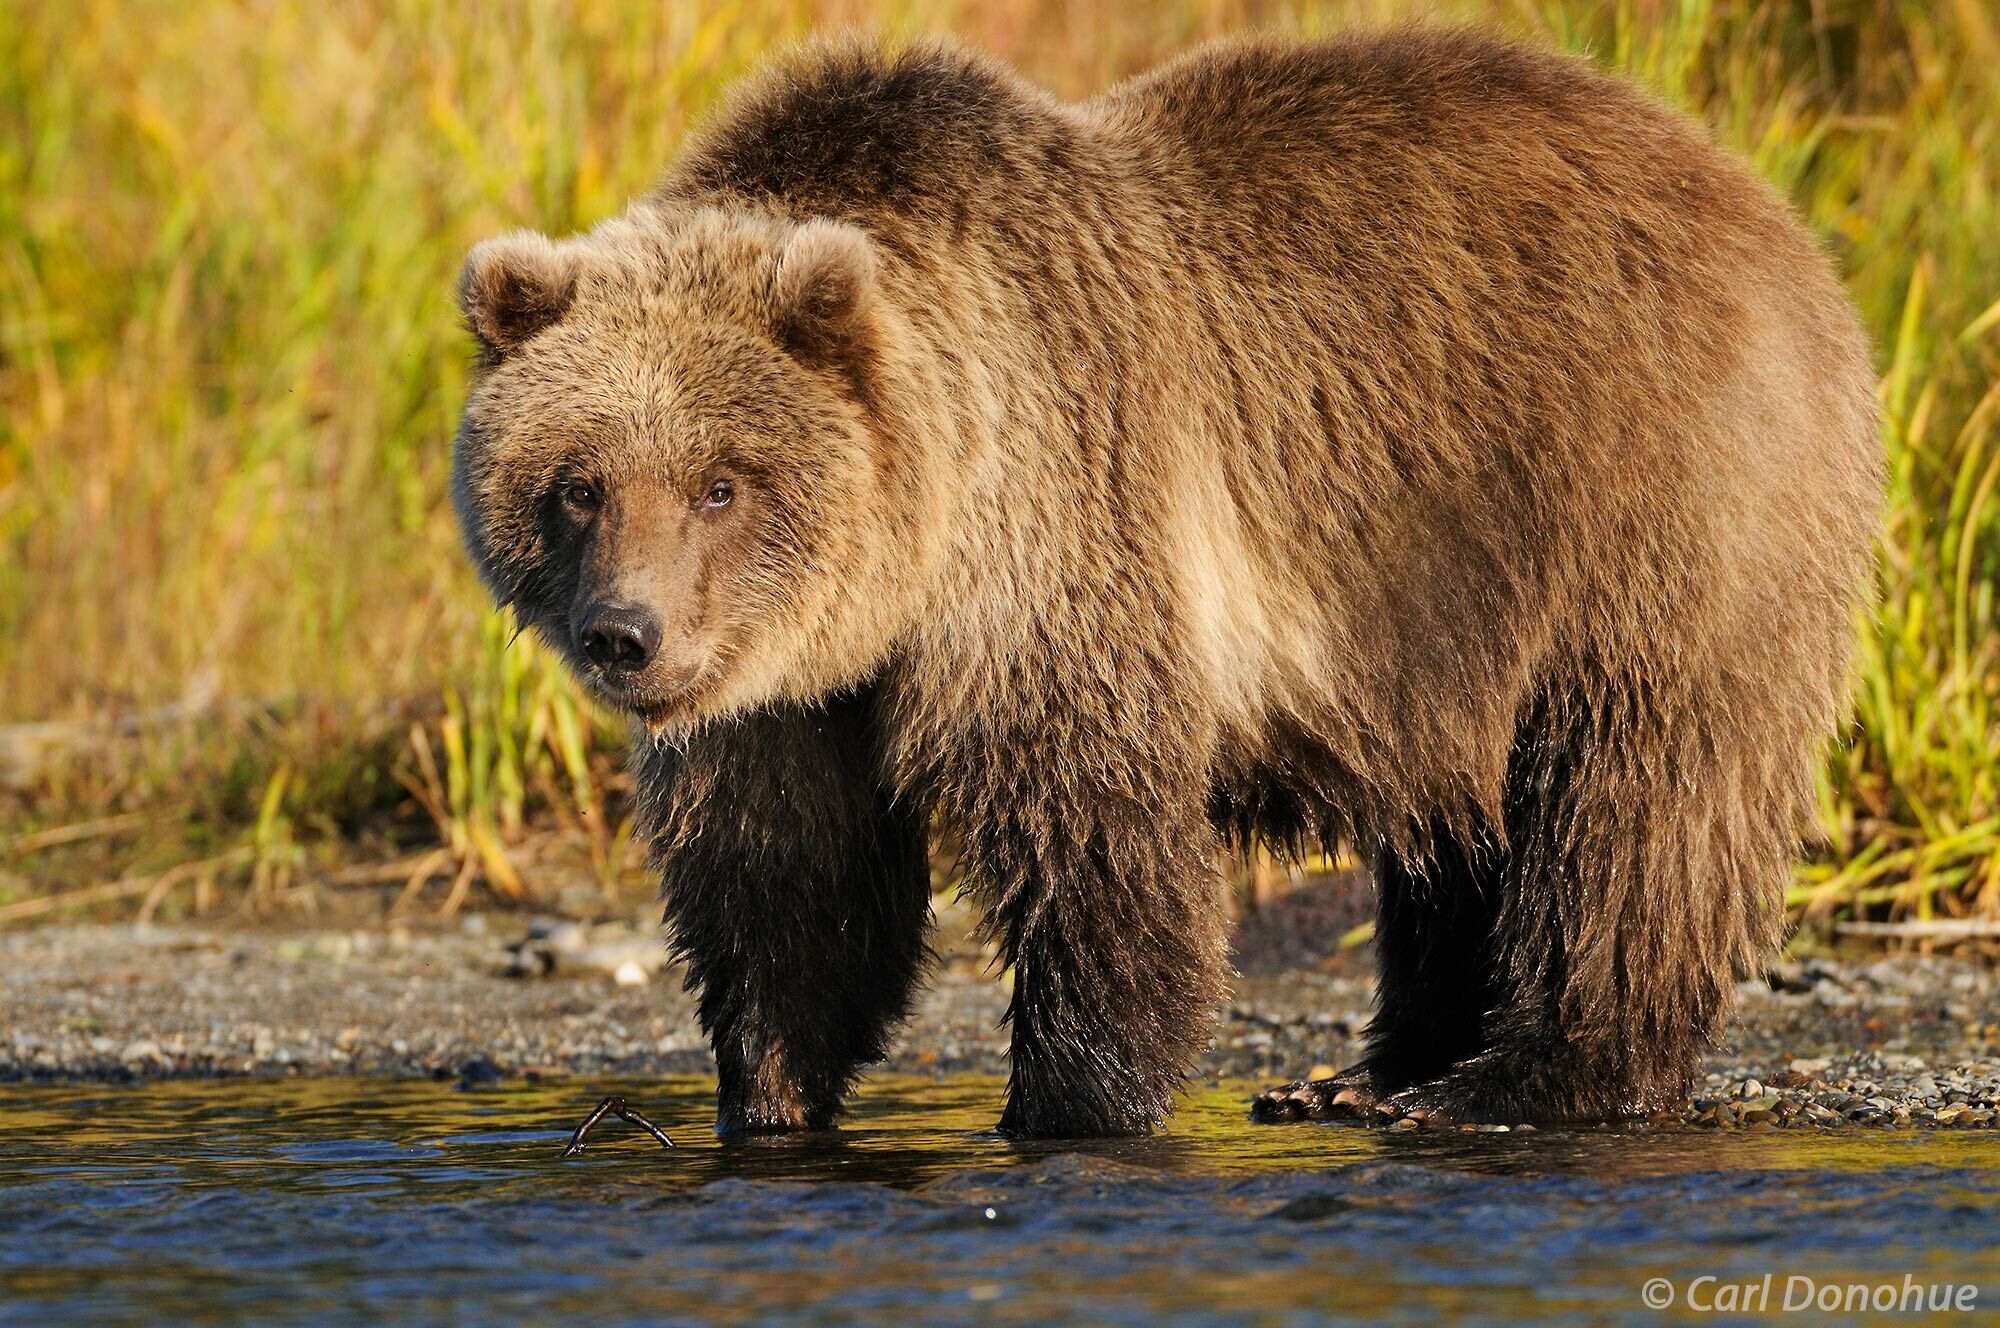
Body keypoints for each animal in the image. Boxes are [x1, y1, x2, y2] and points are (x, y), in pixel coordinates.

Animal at [454, 26, 1872, 1136]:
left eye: (719, 483)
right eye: (576, 482)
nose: (626, 634)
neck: (908, 570)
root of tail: (1764, 207)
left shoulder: (1063, 520)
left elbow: (1092, 841)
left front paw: (1068, 1103)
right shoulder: (780, 697)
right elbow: (785, 880)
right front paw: (770, 1095)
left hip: (1643, 499)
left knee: (1630, 801)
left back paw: (1518, 1076)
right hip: (1452, 605)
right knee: (1456, 828)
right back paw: (1369, 1073)